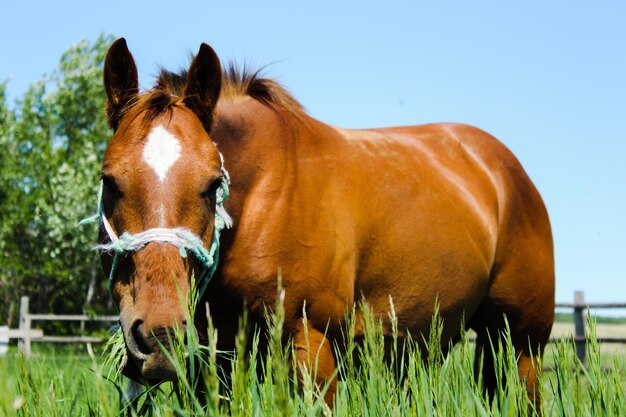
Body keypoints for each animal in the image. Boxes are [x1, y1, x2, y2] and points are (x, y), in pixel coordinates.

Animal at [96, 39, 552, 406]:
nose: (160, 336)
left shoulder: (312, 345)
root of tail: (505, 169)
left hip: (519, 347)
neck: (263, 200)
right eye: (109, 181)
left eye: (212, 185)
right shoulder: (213, 361)